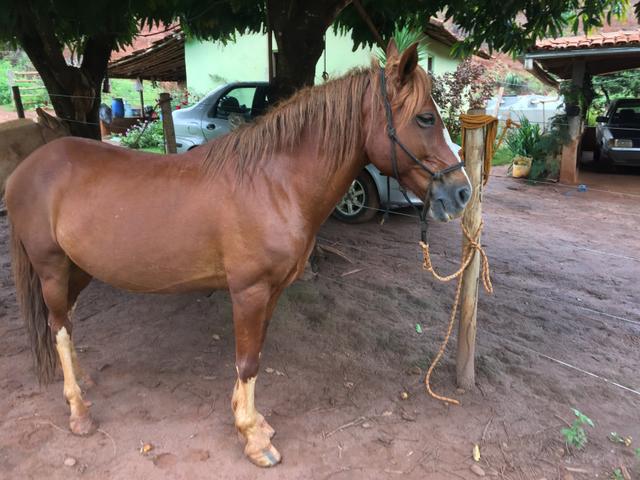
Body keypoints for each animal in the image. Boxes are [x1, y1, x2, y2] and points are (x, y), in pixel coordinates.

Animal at [6, 41, 470, 468]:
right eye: (425, 118)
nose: (462, 192)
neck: (272, 183)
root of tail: (24, 170)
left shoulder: (272, 291)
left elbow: (257, 354)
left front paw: (253, 422)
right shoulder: (249, 291)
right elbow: (247, 361)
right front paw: (253, 439)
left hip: (79, 269)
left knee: (66, 322)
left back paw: (83, 383)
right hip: (51, 268)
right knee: (58, 328)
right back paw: (79, 411)